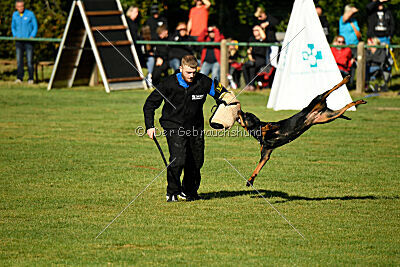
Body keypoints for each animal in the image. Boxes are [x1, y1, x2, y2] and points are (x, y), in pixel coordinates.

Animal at [238, 76, 366, 187]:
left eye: (245, 115)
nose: (239, 109)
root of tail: (319, 110)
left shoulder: (274, 127)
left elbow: (267, 126)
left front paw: (265, 127)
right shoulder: (265, 154)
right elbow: (257, 169)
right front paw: (250, 181)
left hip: (318, 99)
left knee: (331, 89)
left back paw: (346, 79)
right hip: (329, 117)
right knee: (344, 107)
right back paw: (358, 102)